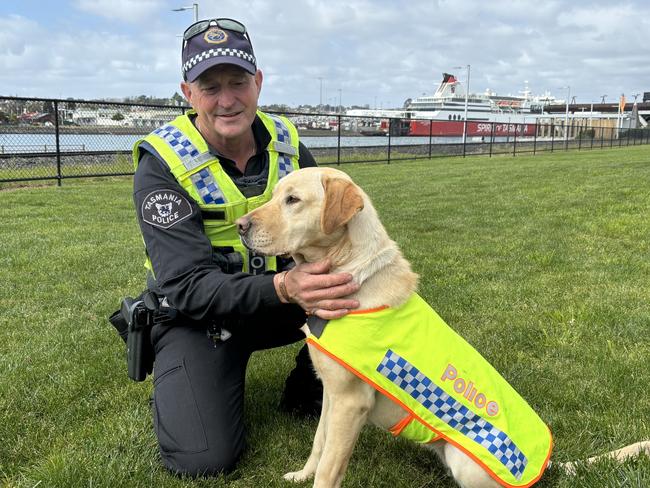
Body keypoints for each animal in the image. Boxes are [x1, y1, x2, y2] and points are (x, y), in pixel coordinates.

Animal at [238, 169, 648, 488]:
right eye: (274, 195)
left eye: (293, 200)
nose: (240, 226)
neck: (353, 271)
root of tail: (547, 466)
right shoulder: (332, 395)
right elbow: (319, 445)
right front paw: (301, 474)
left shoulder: (351, 402)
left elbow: (329, 468)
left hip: (466, 461)